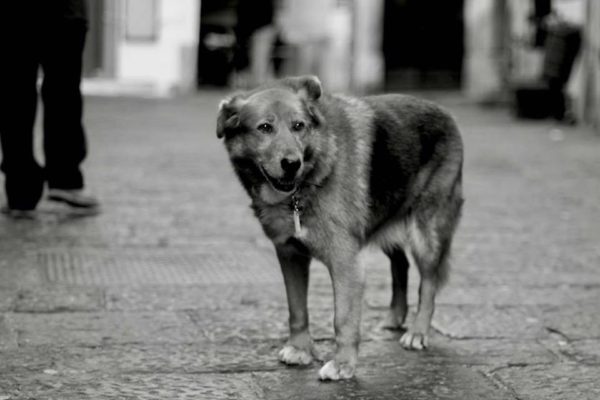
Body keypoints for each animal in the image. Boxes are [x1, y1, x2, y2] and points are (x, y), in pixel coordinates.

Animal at [217, 76, 464, 382]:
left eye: (299, 126)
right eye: (264, 128)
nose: (292, 164)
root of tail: (444, 111)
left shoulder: (346, 262)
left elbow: (343, 319)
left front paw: (343, 364)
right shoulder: (290, 256)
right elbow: (297, 309)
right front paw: (300, 349)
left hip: (427, 232)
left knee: (428, 283)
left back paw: (417, 332)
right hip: (382, 221)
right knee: (401, 265)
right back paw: (395, 317)